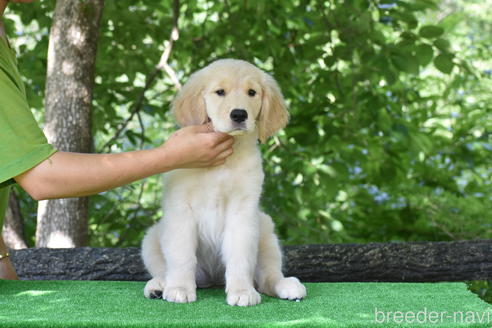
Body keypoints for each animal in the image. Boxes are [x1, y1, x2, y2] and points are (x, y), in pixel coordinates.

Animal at [140, 58, 306, 304]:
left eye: (251, 92)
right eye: (220, 92)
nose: (239, 114)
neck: (222, 163)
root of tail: (213, 279)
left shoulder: (243, 211)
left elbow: (240, 256)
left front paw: (242, 291)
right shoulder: (180, 209)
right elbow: (181, 255)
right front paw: (179, 288)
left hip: (265, 230)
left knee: (268, 275)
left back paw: (286, 285)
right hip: (152, 237)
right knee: (163, 267)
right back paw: (159, 285)